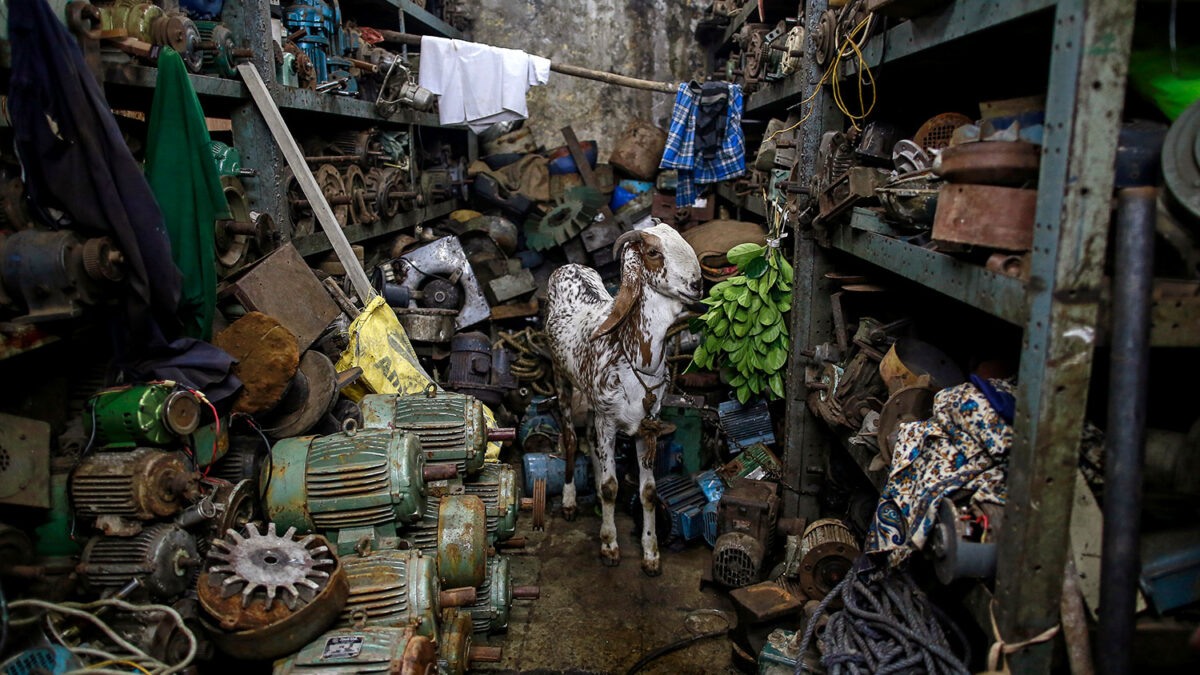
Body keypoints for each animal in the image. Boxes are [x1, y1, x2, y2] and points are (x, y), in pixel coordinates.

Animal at [547, 220, 700, 571]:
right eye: (653, 251)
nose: (697, 284)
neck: (635, 357)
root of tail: (568, 266)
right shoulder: (608, 421)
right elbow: (610, 487)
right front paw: (609, 546)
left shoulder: (648, 425)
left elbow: (648, 491)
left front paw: (651, 554)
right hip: (561, 378)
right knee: (572, 438)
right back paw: (570, 501)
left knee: (589, 438)